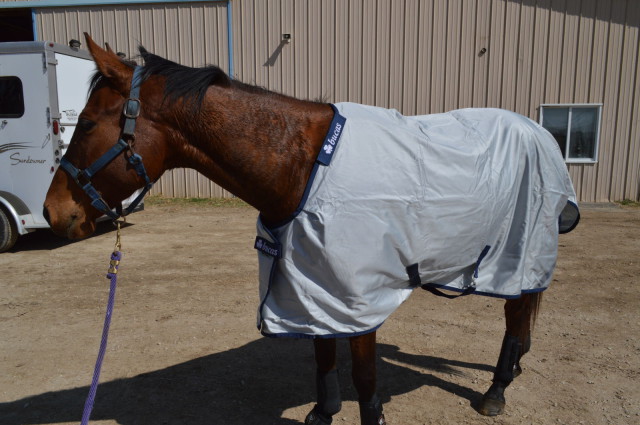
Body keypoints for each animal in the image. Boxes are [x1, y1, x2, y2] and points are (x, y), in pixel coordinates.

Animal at [42, 34, 576, 424]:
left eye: (85, 125)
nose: (52, 212)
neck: (302, 167)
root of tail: (540, 133)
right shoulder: (311, 281)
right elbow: (322, 354)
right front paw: (323, 412)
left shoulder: (359, 294)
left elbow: (365, 378)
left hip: (517, 255)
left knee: (515, 316)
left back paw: (497, 389)